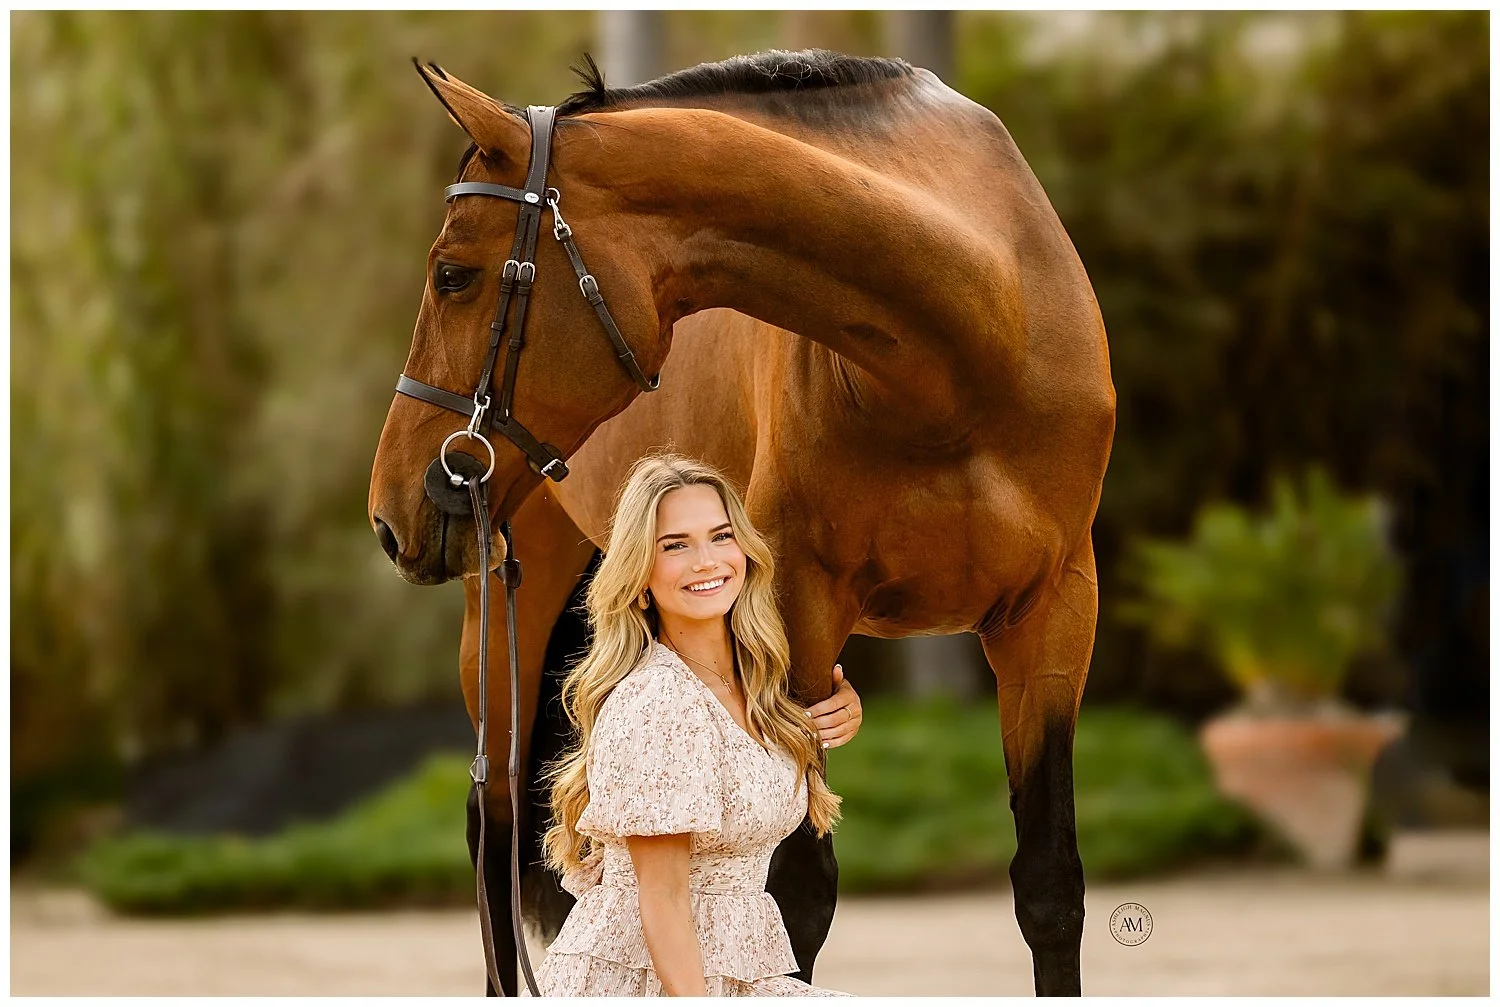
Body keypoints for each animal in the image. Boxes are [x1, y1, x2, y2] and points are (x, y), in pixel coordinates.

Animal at [368, 50, 1114, 996]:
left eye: (453, 275)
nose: (391, 509)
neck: (967, 352)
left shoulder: (1055, 613)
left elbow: (1050, 882)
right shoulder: (798, 608)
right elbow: (798, 894)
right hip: (503, 610)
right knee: (492, 824)